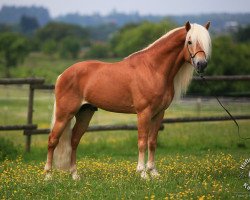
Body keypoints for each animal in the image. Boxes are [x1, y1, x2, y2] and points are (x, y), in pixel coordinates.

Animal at [44, 21, 211, 180]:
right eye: (189, 41)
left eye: (207, 43)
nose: (201, 64)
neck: (153, 68)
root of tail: (63, 74)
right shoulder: (144, 113)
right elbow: (142, 142)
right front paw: (142, 173)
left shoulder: (159, 113)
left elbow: (152, 142)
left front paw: (153, 173)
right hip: (64, 114)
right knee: (53, 140)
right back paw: (48, 176)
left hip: (85, 113)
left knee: (74, 140)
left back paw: (75, 175)